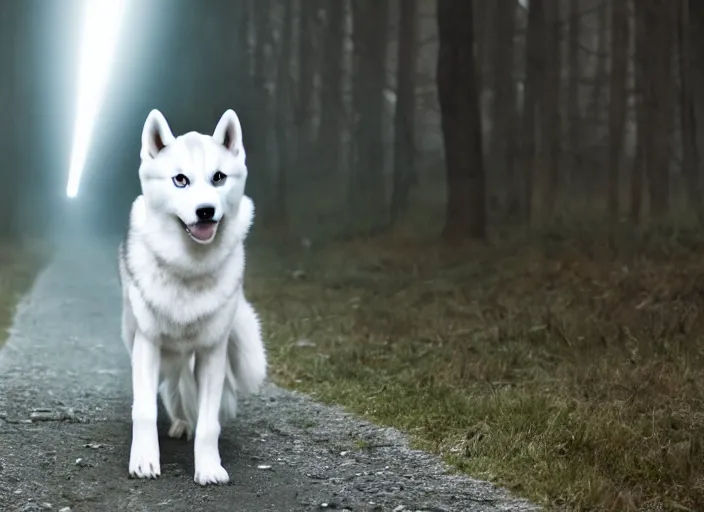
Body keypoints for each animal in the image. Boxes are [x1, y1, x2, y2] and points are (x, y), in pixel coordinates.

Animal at [118, 108, 266, 484]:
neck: (190, 268)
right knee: (171, 389)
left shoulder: (213, 352)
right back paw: (180, 423)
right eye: (180, 180)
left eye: (218, 178)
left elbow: (210, 422)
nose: (205, 211)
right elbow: (144, 410)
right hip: (158, 352)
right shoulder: (148, 345)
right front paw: (144, 461)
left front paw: (209, 467)